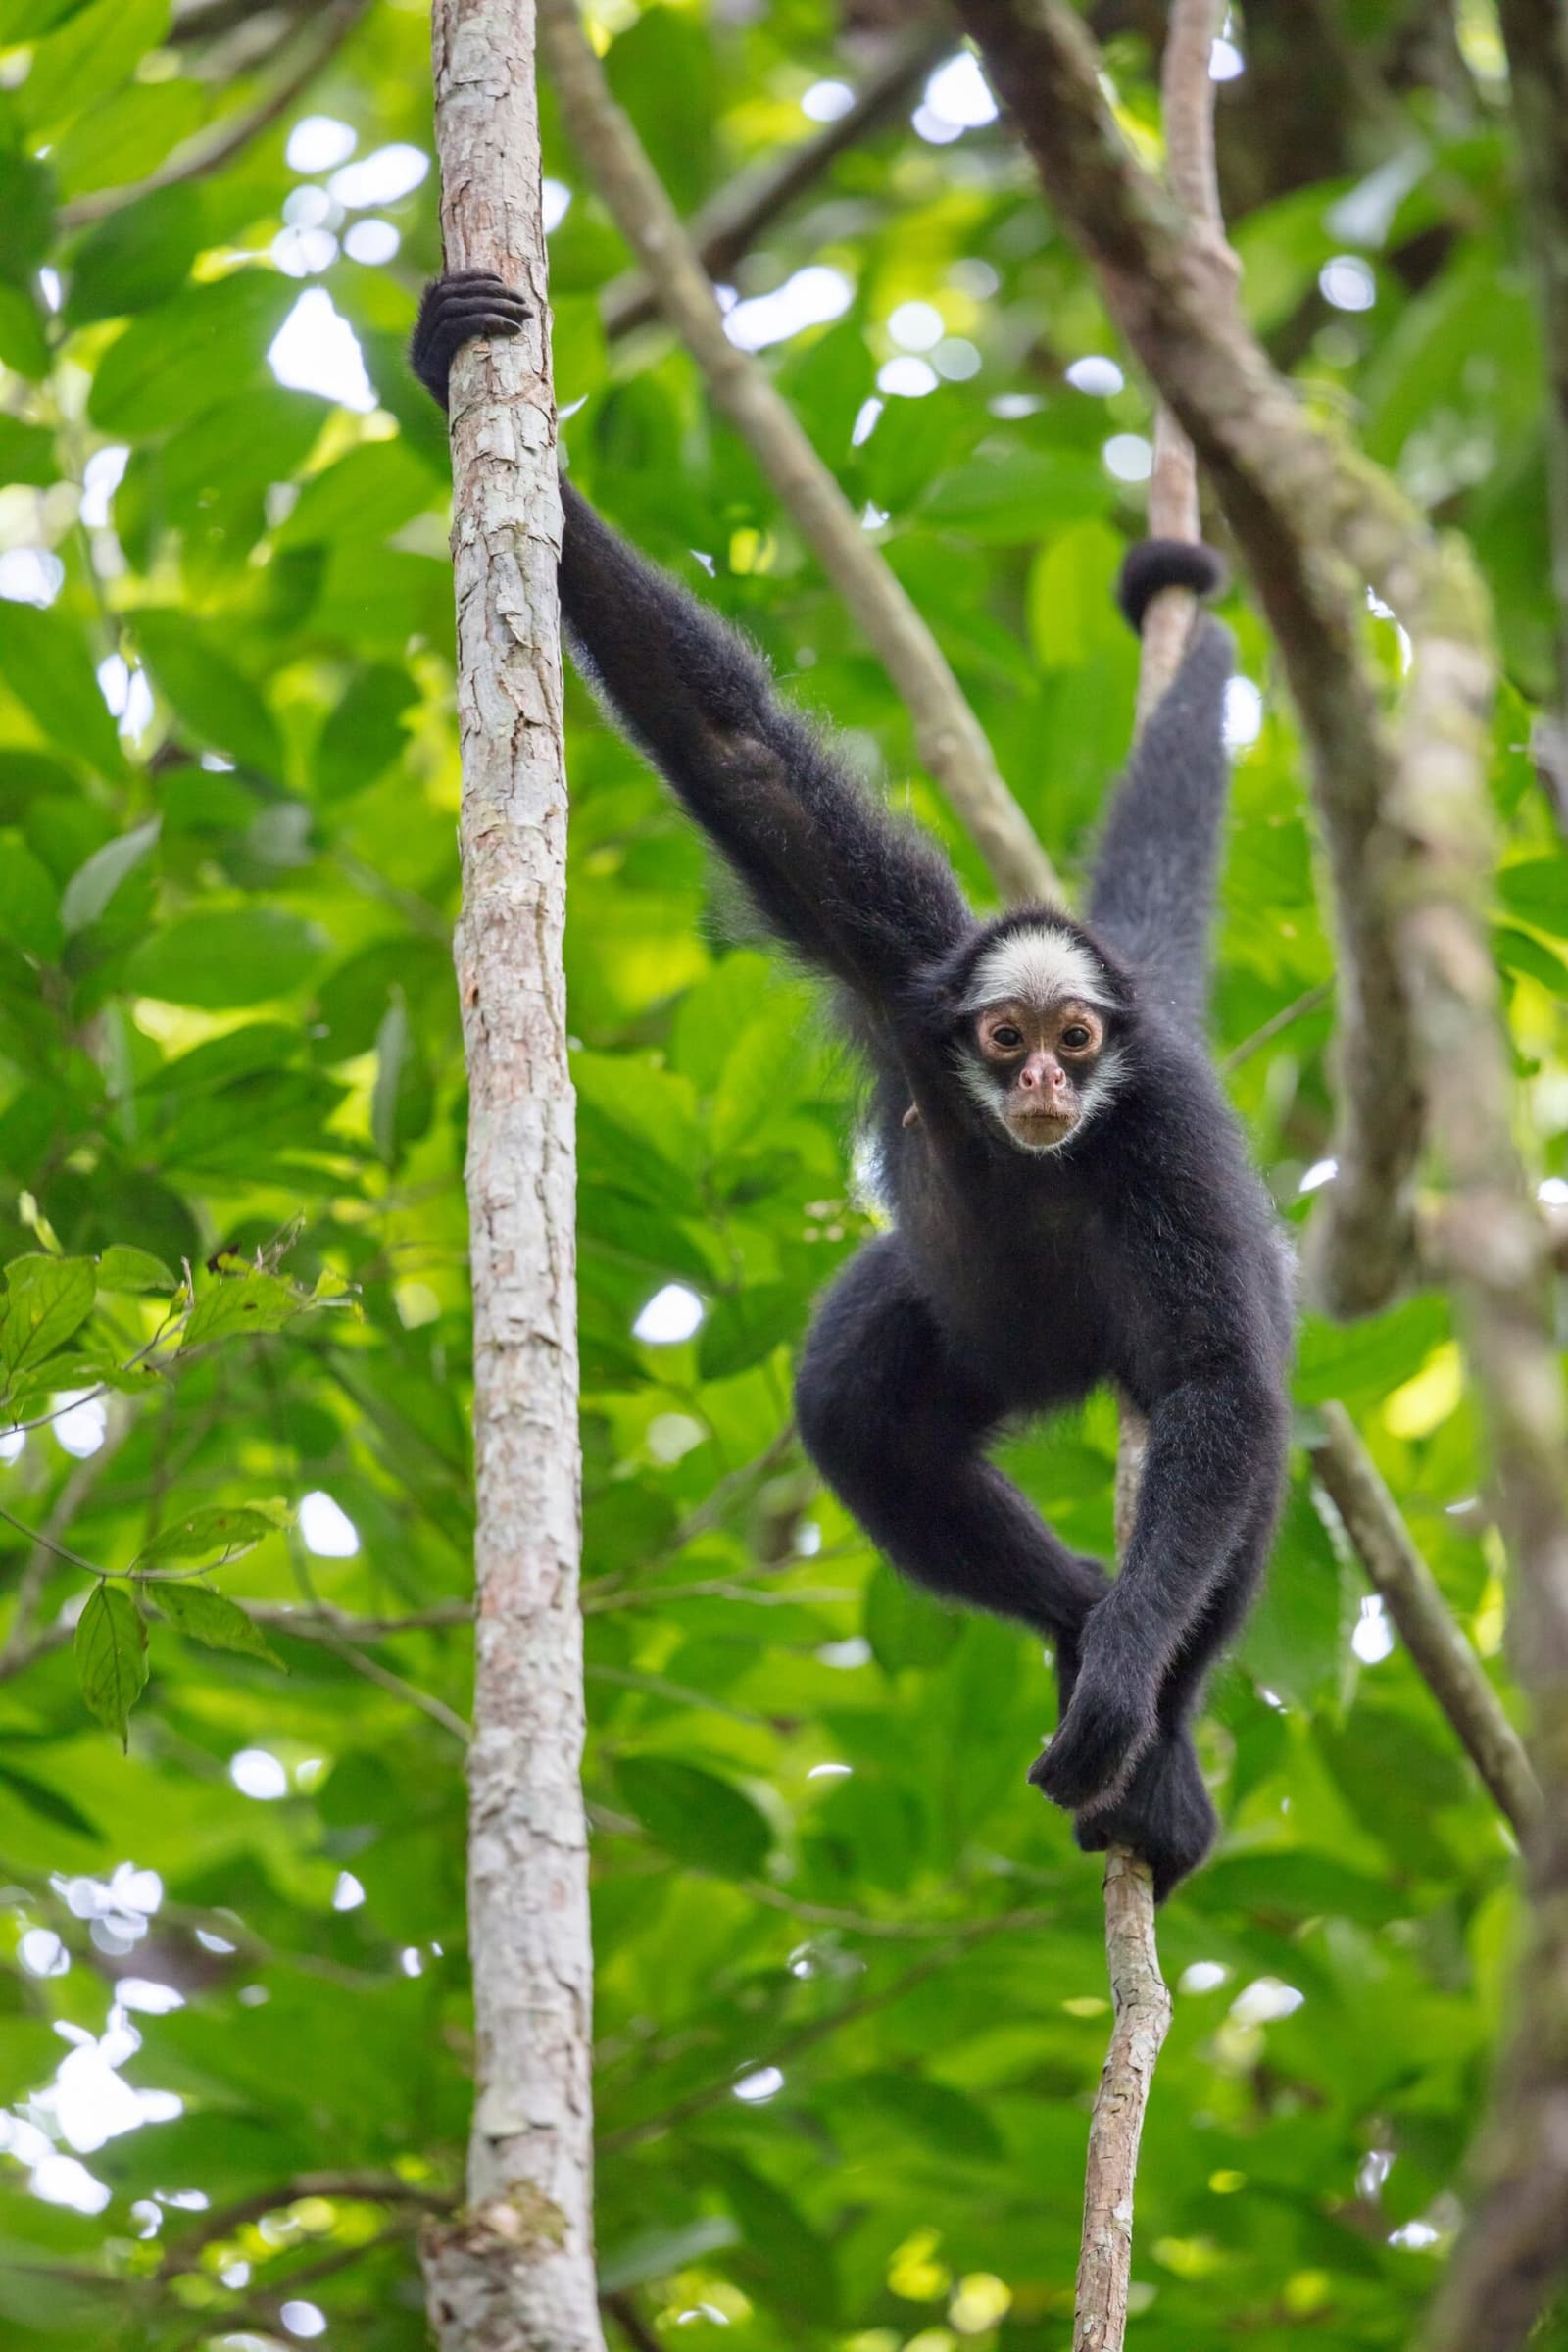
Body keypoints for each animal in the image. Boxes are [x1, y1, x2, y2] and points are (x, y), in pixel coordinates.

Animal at [412, 273, 1293, 1898]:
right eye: (1004, 1043)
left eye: (1077, 1044)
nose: (1045, 1083)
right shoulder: (905, 967)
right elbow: (734, 751)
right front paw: (456, 365)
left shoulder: (1167, 1134)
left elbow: (1221, 1387)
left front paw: (1129, 1684)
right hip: (970, 1326)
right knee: (857, 1409)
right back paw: (1077, 1603)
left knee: (1244, 1413)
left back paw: (1151, 1733)